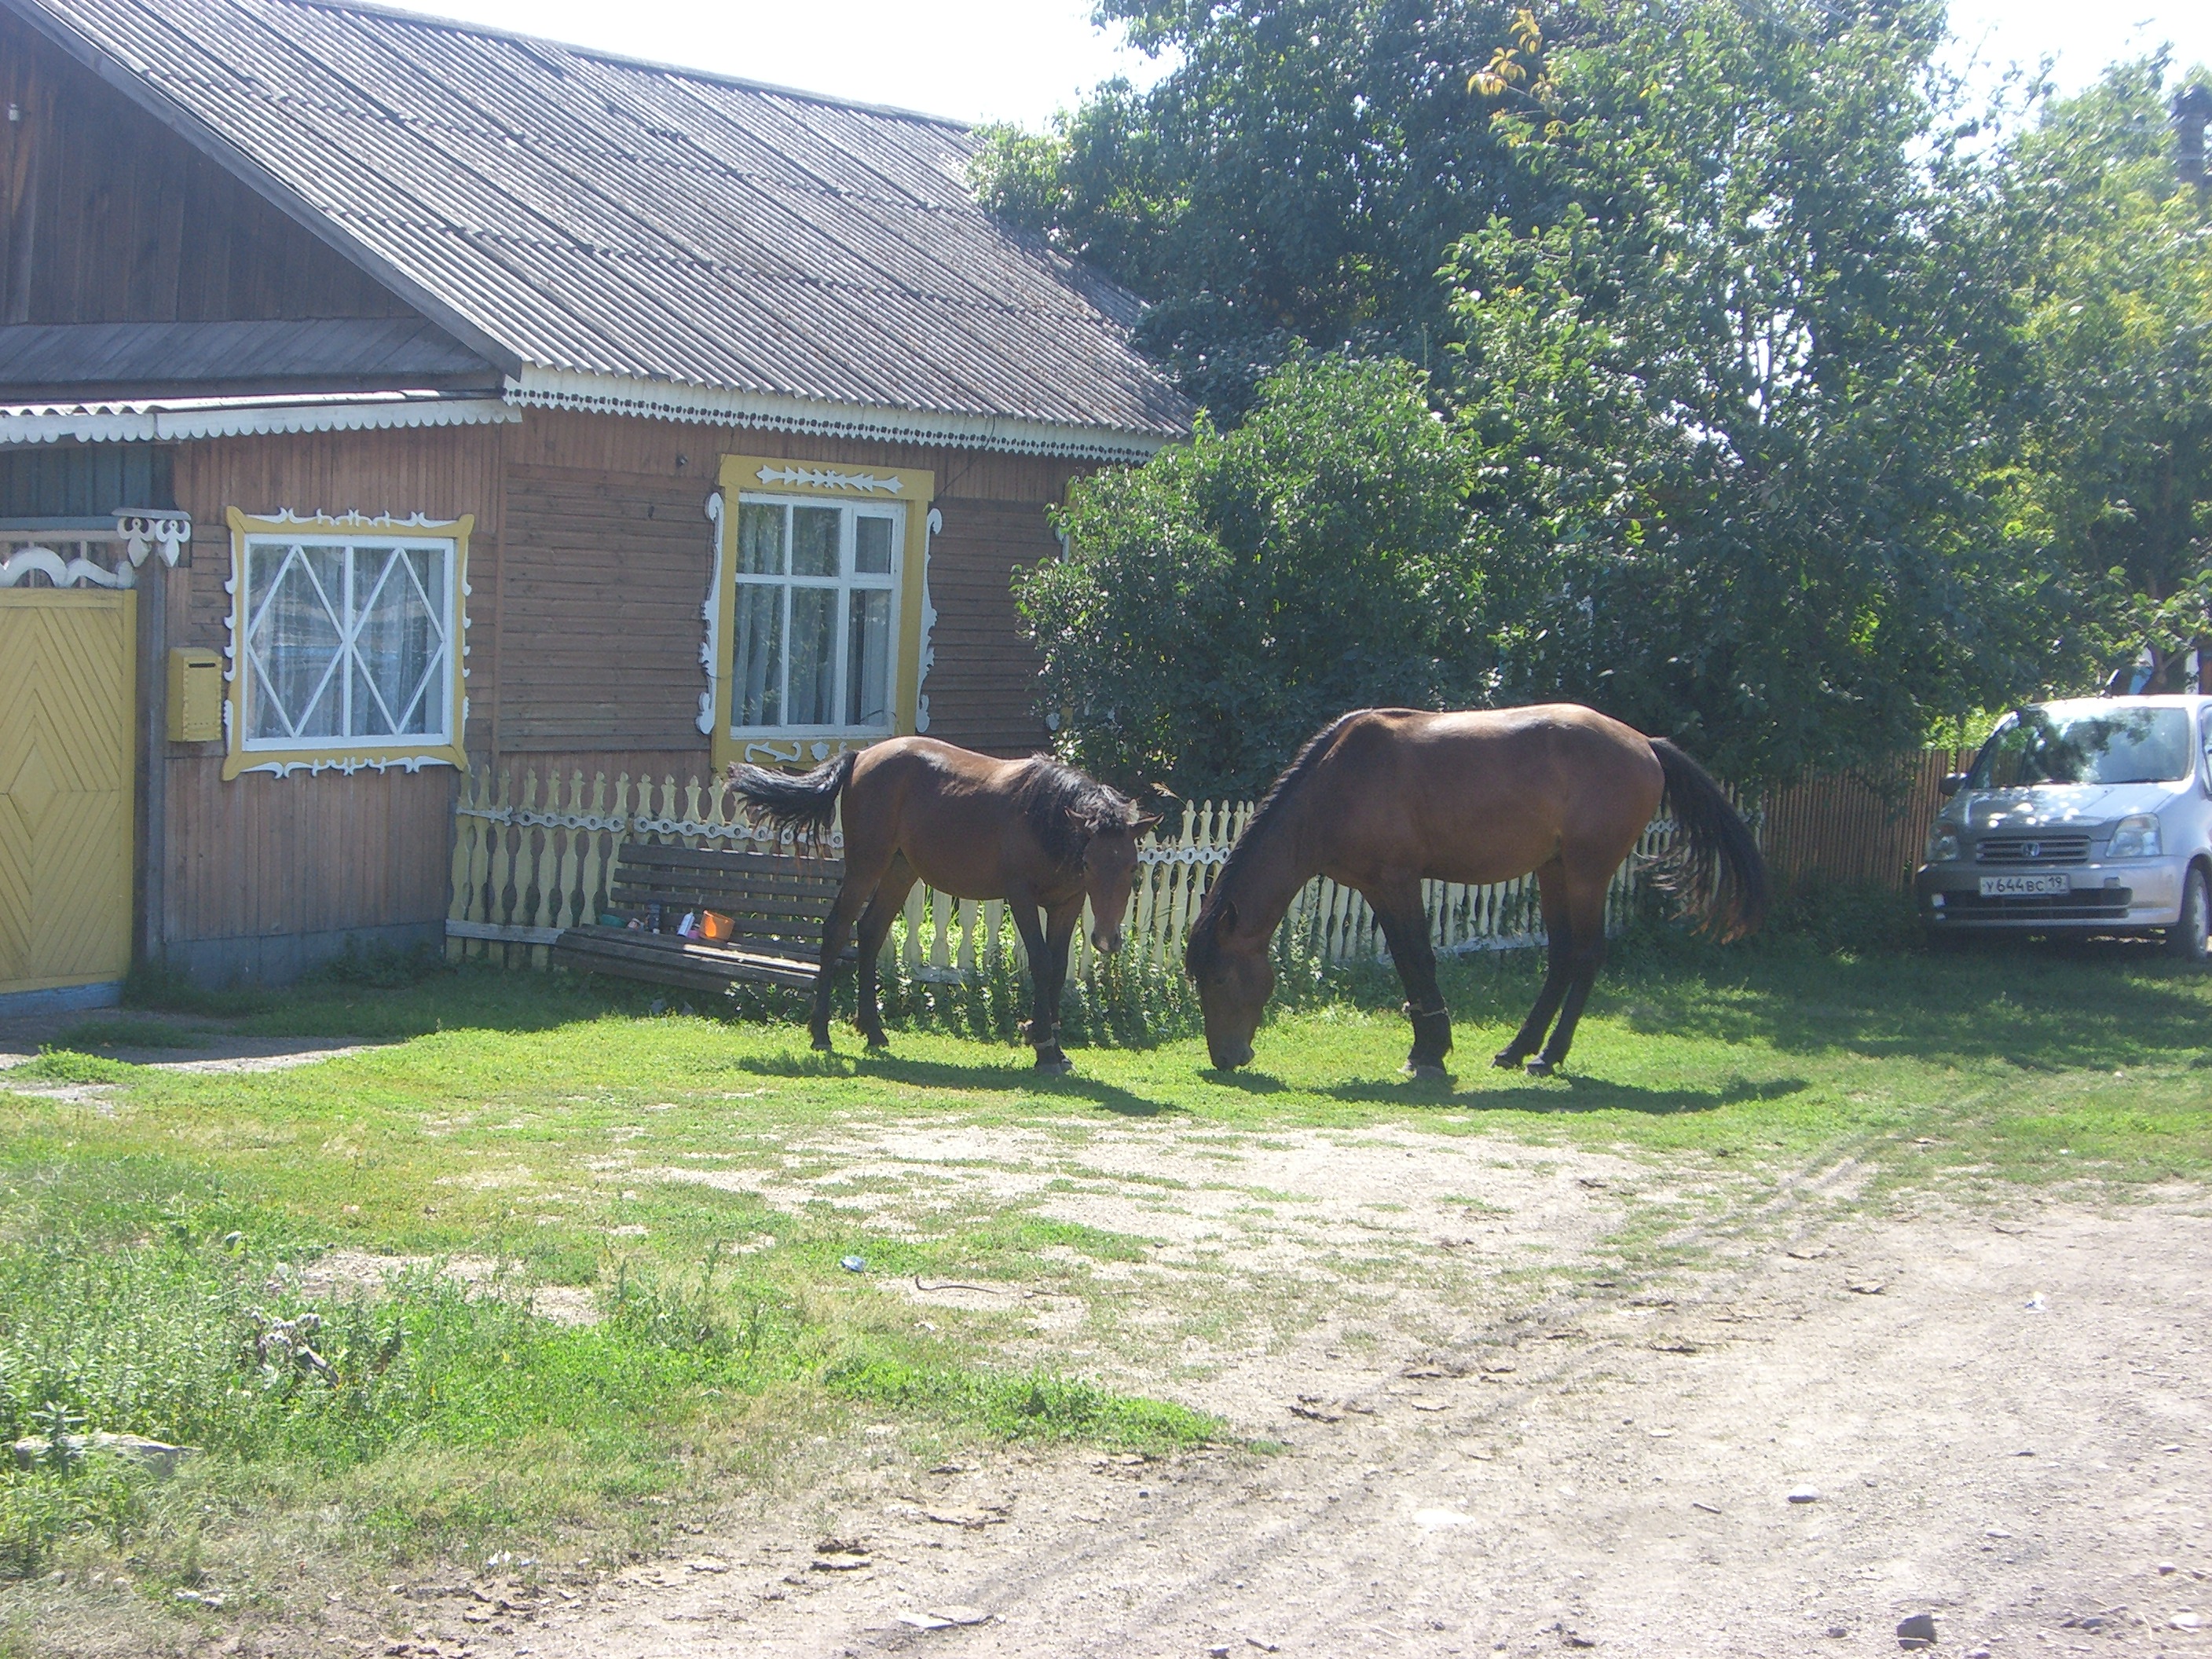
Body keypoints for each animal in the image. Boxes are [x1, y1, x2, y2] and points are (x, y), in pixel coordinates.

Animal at [738, 734, 1167, 1070]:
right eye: (1090, 862)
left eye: (1132, 865)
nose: (1107, 939)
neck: (1044, 816)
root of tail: (862, 756)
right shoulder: (1022, 898)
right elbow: (1042, 964)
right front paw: (1045, 1049)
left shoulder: (1068, 904)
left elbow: (1059, 970)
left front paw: (1053, 1044)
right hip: (866, 865)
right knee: (836, 930)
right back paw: (821, 1032)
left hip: (900, 870)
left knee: (871, 932)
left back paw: (874, 1030)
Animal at [1185, 712, 1769, 1079]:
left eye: (1219, 978)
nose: (1227, 1058)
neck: (1339, 781)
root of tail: (1646, 743)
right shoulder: (1378, 888)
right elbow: (1409, 962)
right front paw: (1427, 1048)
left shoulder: (1396, 882)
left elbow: (1416, 959)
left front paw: (1430, 1053)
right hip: (1554, 871)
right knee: (1562, 957)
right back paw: (1517, 1048)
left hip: (1586, 873)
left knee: (1586, 956)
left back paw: (1547, 1056)